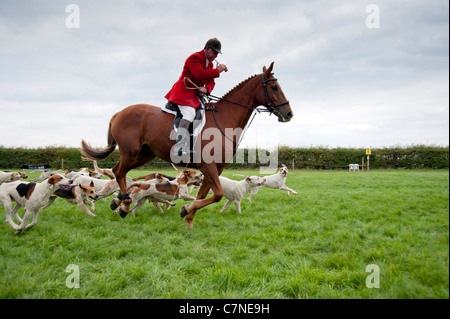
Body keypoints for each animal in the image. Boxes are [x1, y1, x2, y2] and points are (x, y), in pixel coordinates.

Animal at [81, 62, 294, 228]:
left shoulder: (216, 168)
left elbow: (203, 194)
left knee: (120, 171)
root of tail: (120, 112)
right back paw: (124, 204)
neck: (224, 120)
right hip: (130, 152)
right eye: (274, 87)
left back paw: (119, 202)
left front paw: (188, 215)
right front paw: (187, 210)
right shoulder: (208, 166)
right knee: (118, 172)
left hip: (144, 154)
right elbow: (216, 195)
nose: (289, 114)